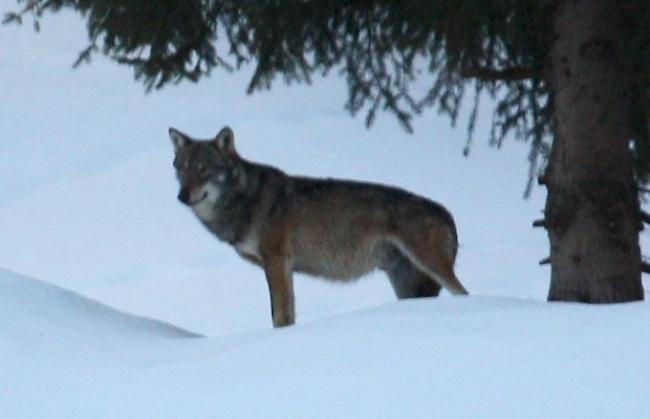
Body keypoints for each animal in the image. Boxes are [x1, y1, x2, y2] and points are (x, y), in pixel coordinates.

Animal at [167, 126, 466, 330]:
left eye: (204, 169)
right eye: (182, 169)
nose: (182, 196)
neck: (245, 199)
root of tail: (447, 214)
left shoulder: (277, 261)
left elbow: (281, 315)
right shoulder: (277, 267)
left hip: (430, 268)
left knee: (463, 293)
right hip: (407, 285)